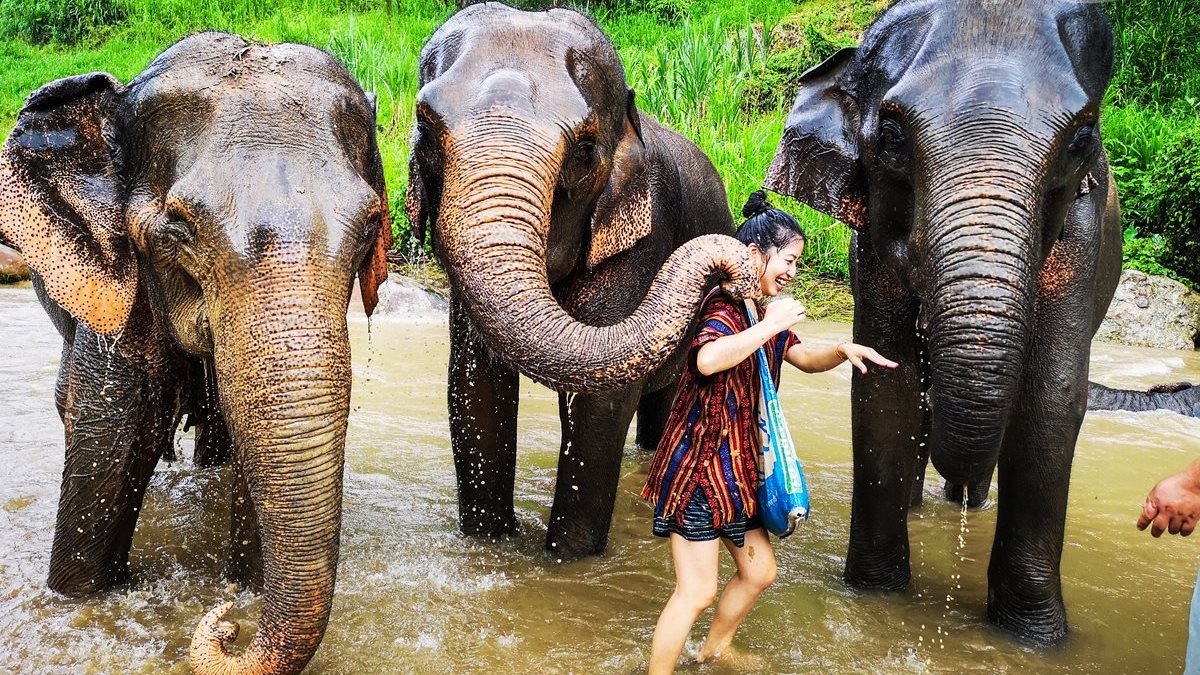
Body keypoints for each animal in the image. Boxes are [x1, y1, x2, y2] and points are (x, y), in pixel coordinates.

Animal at [0, 32, 391, 672]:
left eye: (368, 228)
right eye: (180, 229)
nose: (225, 624)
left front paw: (244, 588)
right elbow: (110, 451)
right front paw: (78, 598)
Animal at [408, 2, 753, 554]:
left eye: (585, 151)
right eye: (424, 124)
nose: (734, 270)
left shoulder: (643, 239)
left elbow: (600, 405)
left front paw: (567, 561)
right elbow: (475, 385)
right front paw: (490, 548)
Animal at [763, 0, 1118, 638]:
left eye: (1081, 140)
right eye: (893, 137)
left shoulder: (1083, 233)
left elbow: (1051, 397)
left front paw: (1035, 637)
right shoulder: (872, 244)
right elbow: (889, 387)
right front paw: (875, 595)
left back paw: (967, 504)